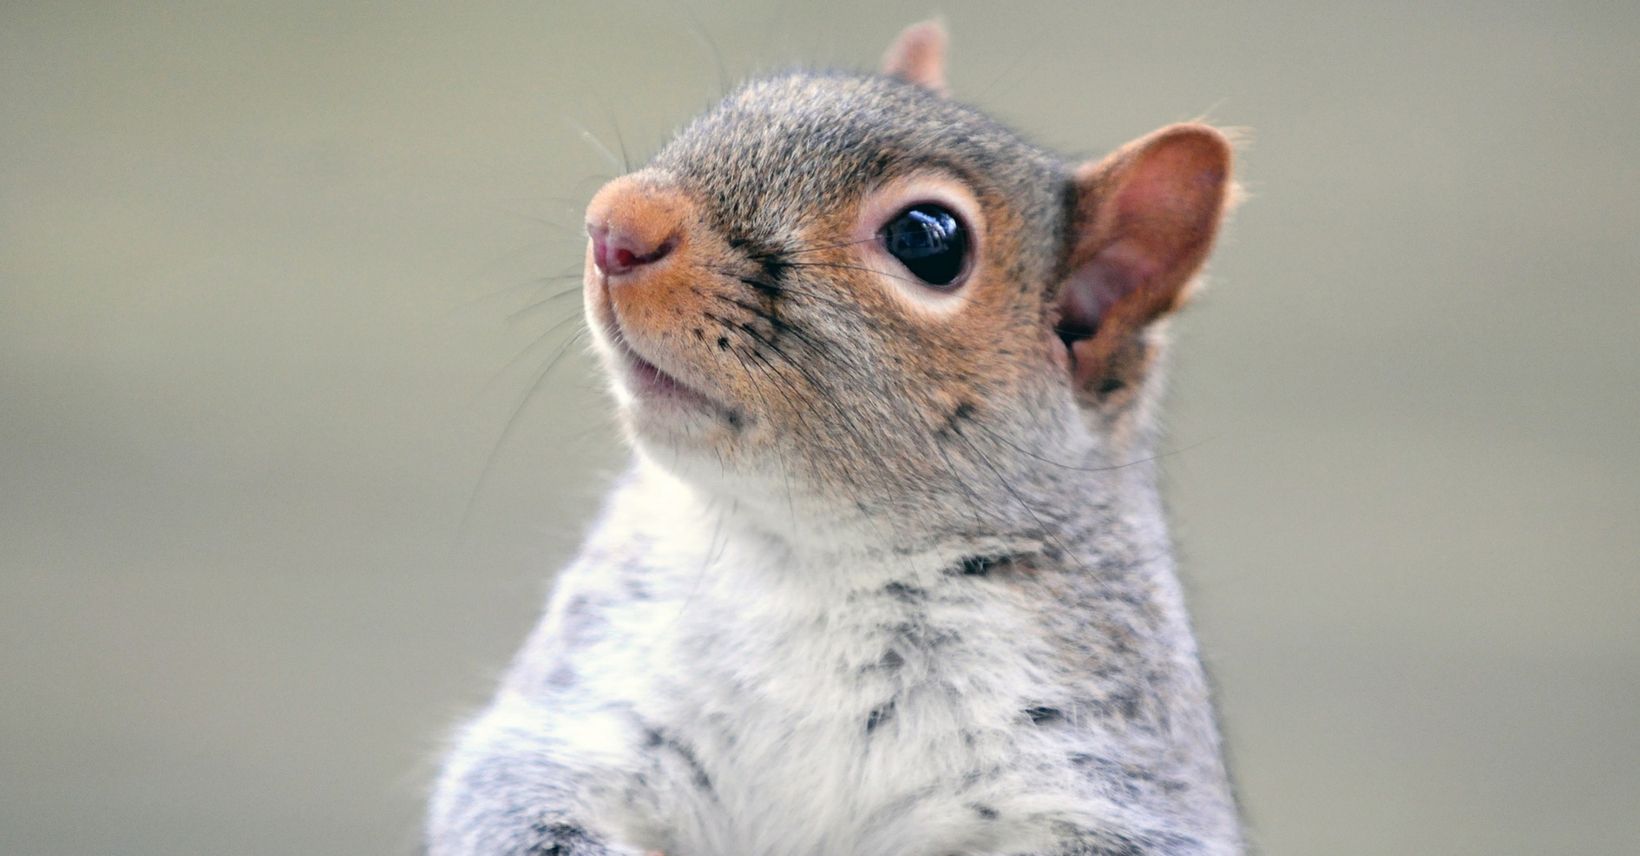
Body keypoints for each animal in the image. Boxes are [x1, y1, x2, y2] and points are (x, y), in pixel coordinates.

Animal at [429, 20, 1242, 856]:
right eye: (741, 103)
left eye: (928, 239)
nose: (615, 224)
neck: (812, 559)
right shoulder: (581, 713)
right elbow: (514, 797)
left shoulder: (1103, 776)